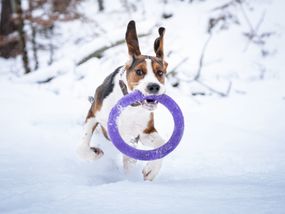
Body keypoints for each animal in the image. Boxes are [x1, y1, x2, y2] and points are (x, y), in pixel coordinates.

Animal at [76, 19, 168, 181]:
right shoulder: (93, 113)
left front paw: (151, 170)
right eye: (139, 71)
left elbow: (162, 145)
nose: (154, 87)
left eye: (160, 72)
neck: (131, 107)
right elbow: (82, 146)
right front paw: (94, 153)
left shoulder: (145, 132)